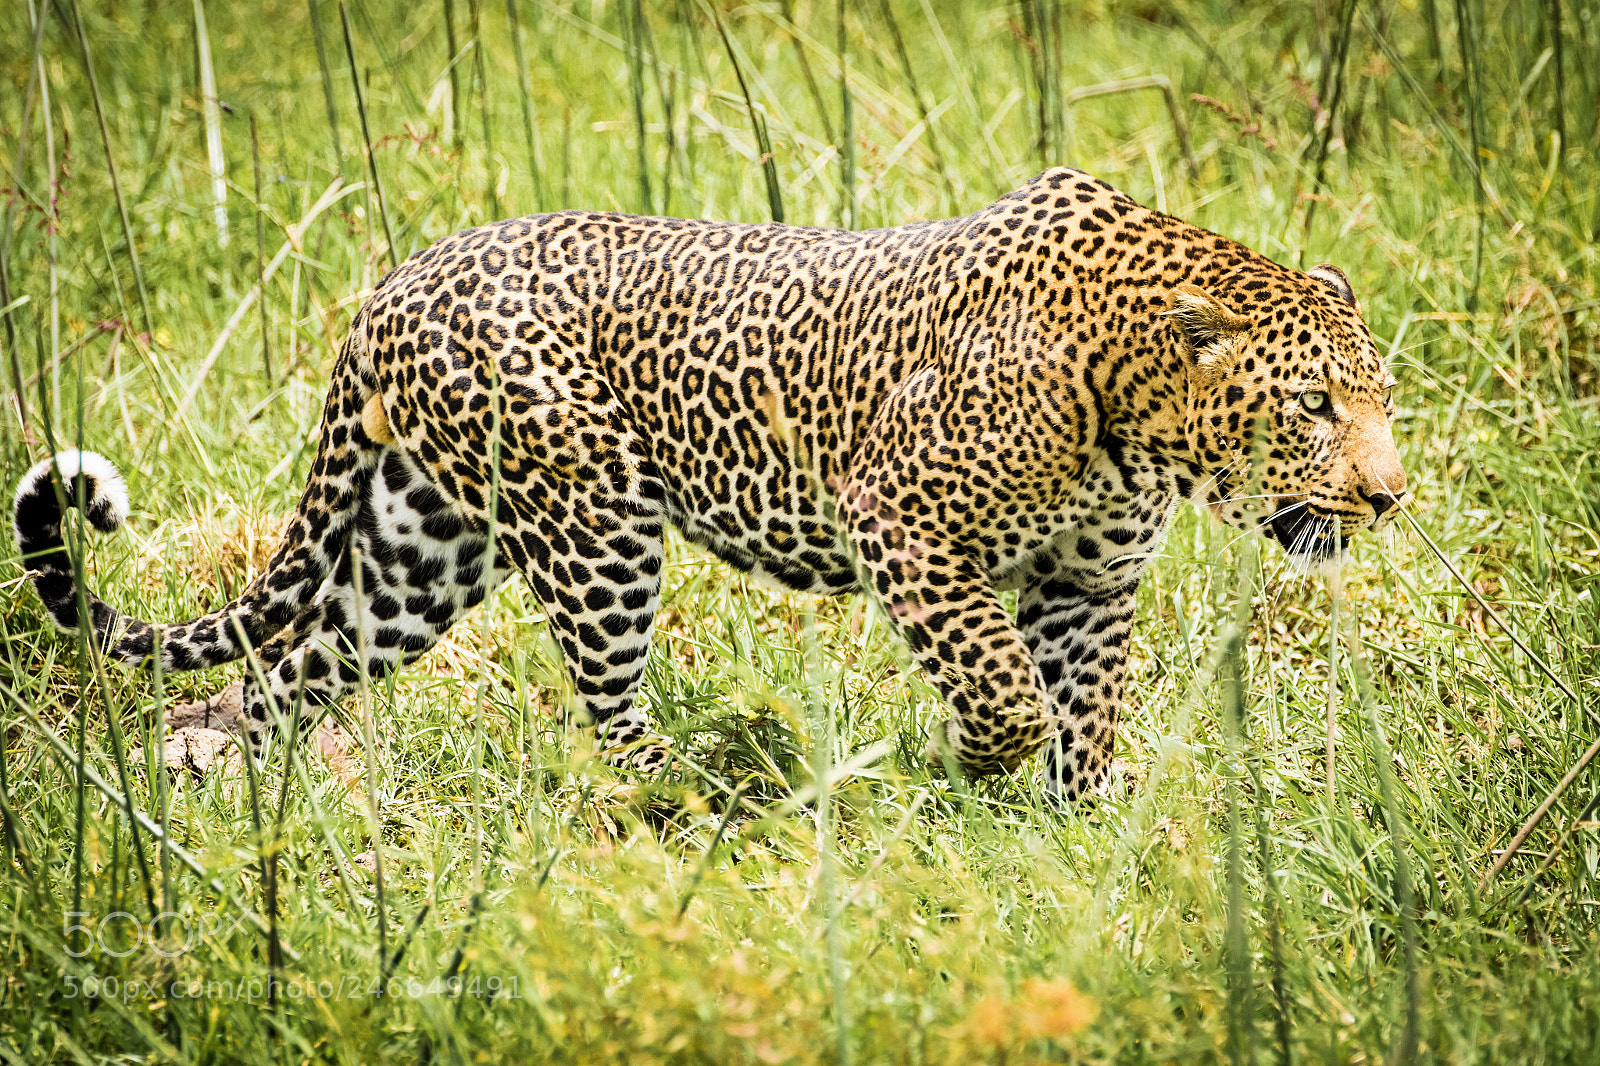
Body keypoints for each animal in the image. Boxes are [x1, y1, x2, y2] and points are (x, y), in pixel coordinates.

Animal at [13, 167, 1406, 802]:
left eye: (1381, 398)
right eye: (1312, 407)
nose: (1389, 496)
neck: (1135, 412)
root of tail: (395, 280)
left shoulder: (1088, 584)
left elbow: (1085, 709)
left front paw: (1081, 828)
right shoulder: (908, 530)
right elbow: (1006, 692)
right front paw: (968, 769)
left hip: (423, 548)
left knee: (292, 667)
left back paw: (246, 792)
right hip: (595, 526)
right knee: (609, 709)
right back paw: (687, 806)